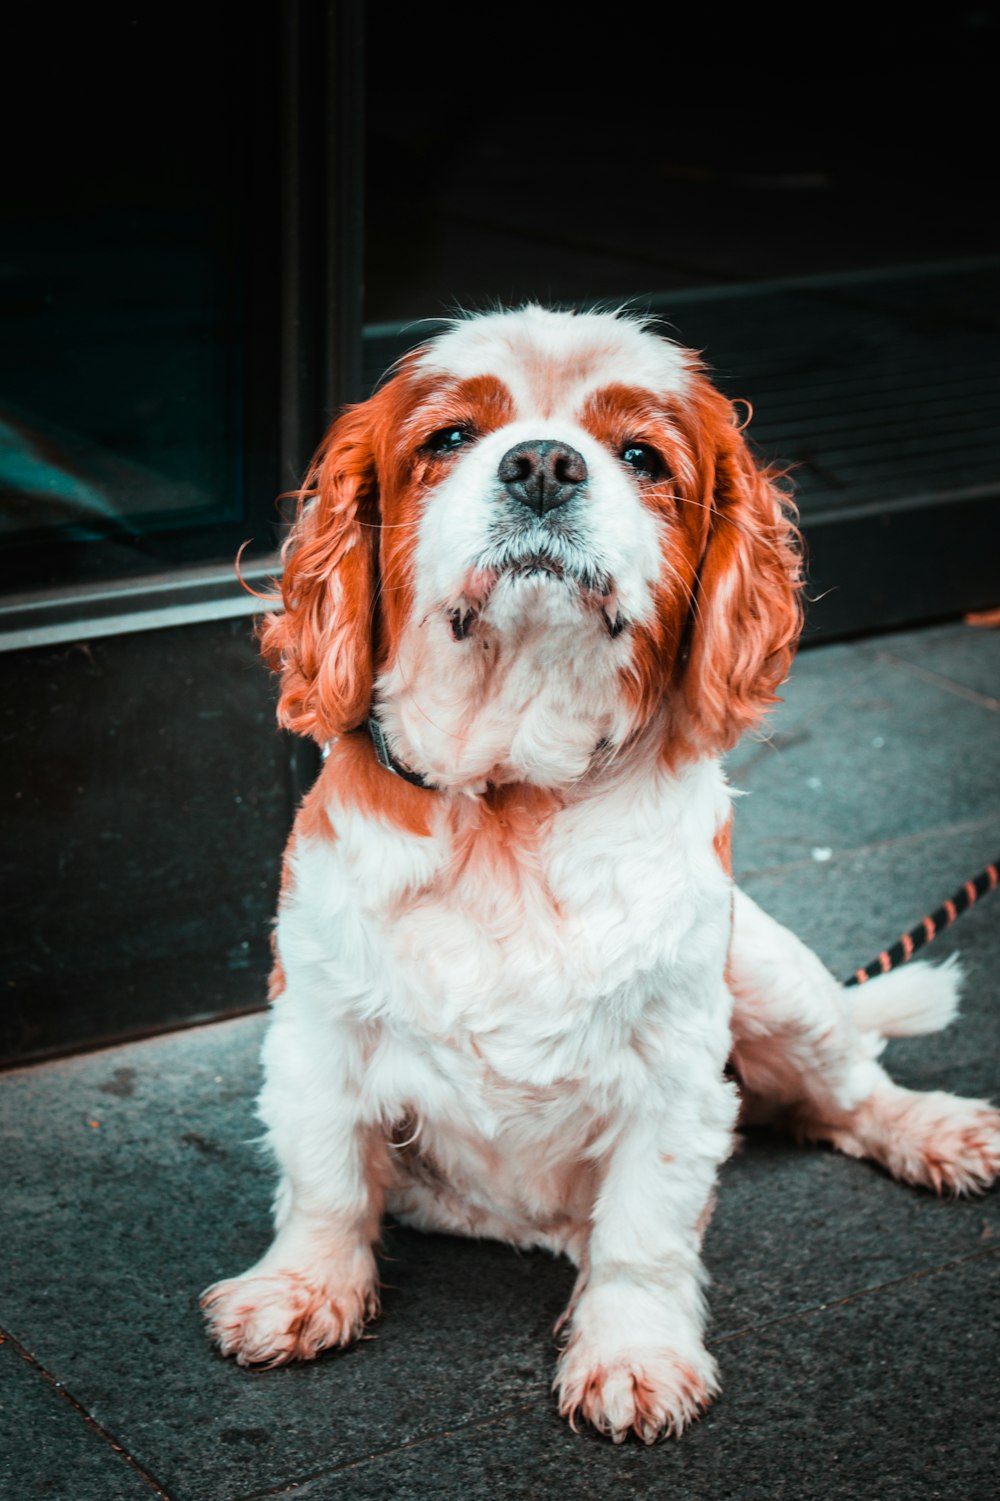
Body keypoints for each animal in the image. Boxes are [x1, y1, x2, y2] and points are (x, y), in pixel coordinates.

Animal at [204, 301, 996, 1440]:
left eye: (642, 457)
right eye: (449, 437)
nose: (541, 463)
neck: (513, 799)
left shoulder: (674, 1068)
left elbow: (644, 1232)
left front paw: (632, 1351)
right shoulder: (315, 1029)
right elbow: (325, 1183)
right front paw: (302, 1289)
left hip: (772, 980)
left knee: (847, 1086)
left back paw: (936, 1130)